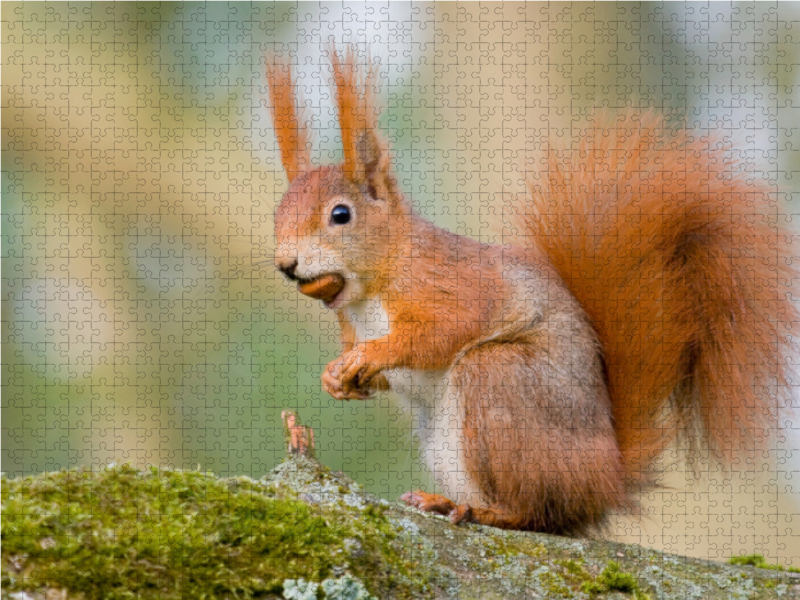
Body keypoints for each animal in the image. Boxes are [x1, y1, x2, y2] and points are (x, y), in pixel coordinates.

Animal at [270, 48, 800, 536]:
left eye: (341, 215)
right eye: (277, 213)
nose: (286, 265)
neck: (370, 288)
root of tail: (607, 479)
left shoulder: (450, 282)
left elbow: (445, 329)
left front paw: (371, 355)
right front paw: (336, 377)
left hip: (500, 384)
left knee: (537, 512)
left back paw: (481, 511)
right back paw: (446, 501)